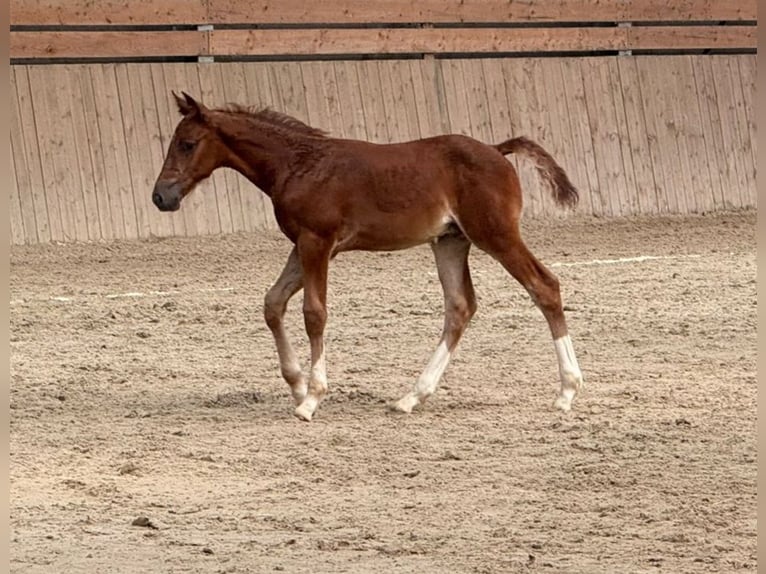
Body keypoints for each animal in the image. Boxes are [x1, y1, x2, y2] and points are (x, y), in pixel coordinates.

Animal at [152, 91, 584, 422]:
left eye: (187, 143)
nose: (161, 196)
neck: (299, 164)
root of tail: (497, 150)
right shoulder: (303, 244)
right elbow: (273, 303)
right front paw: (296, 383)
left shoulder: (317, 242)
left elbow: (314, 313)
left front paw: (311, 398)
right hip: (450, 241)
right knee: (460, 306)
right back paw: (412, 397)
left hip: (495, 235)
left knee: (544, 286)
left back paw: (567, 391)